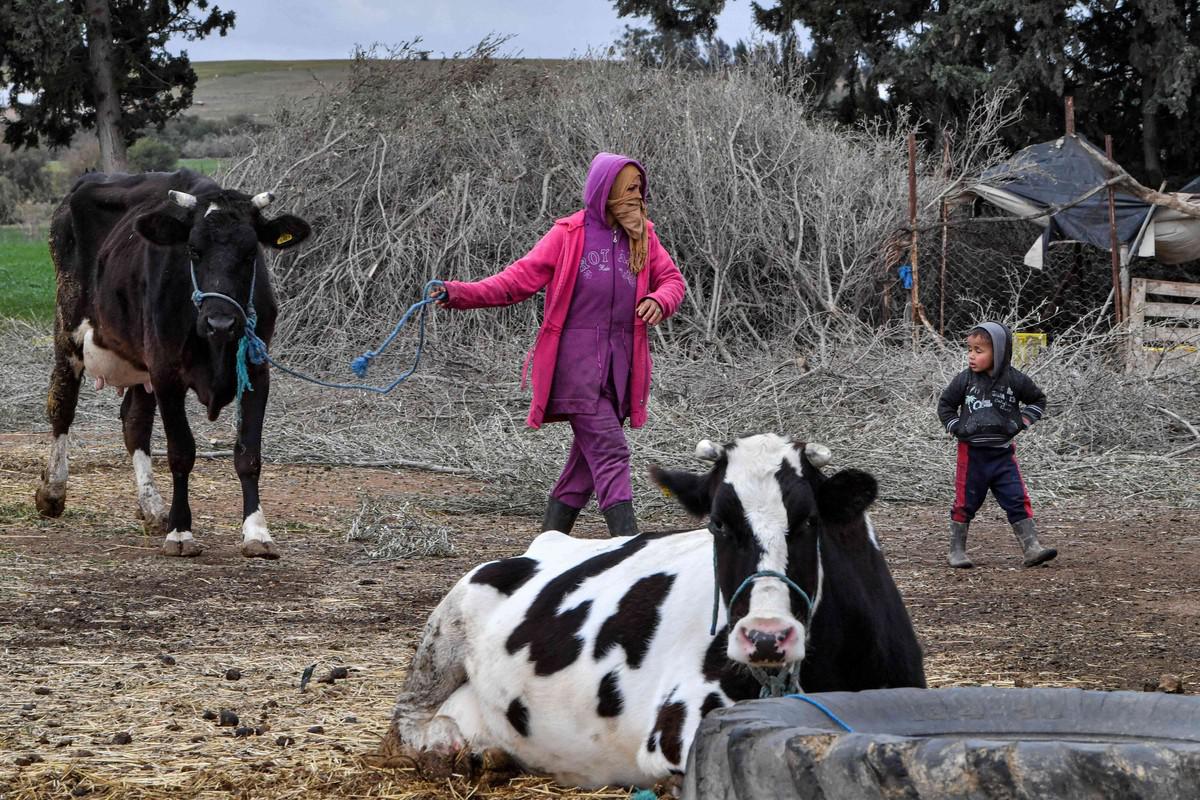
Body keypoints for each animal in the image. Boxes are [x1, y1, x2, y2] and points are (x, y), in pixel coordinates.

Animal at [36, 170, 309, 556]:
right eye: (193, 250)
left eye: (250, 252)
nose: (221, 322)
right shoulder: (166, 372)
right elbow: (181, 452)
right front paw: (181, 532)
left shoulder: (256, 370)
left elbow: (248, 455)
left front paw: (256, 532)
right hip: (67, 326)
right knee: (62, 406)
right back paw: (53, 491)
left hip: (140, 359)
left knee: (134, 421)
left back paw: (151, 506)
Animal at [379, 431, 921, 786]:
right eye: (718, 524)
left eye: (808, 521)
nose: (766, 636)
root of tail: (544, 543)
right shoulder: (675, 728)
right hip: (449, 621)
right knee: (406, 719)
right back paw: (445, 749)